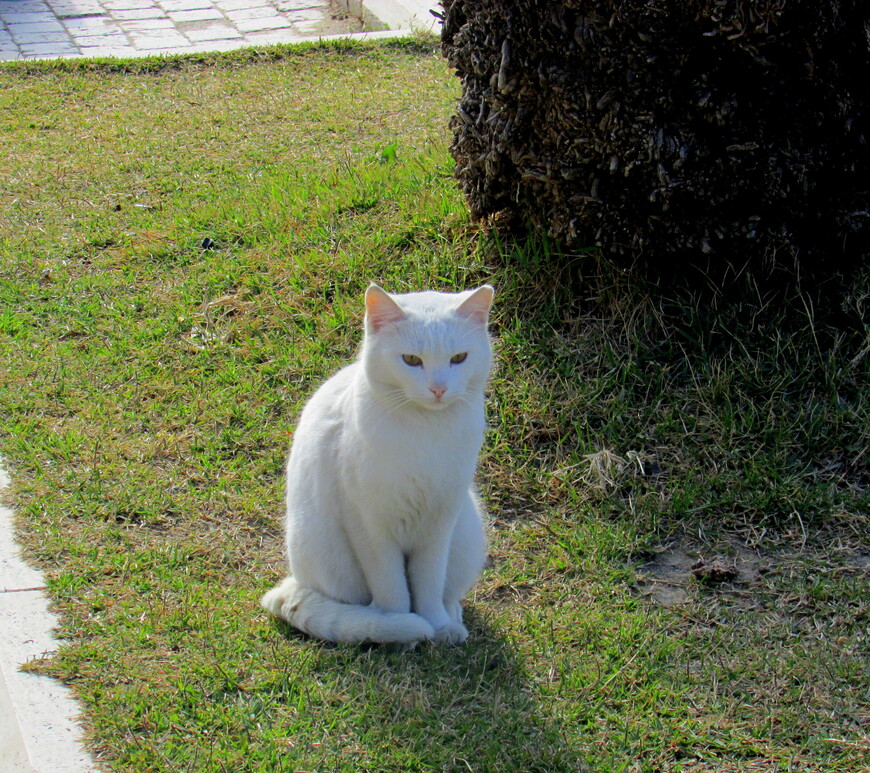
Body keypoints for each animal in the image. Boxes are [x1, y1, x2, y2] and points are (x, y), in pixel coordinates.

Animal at [260, 280, 498, 644]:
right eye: (411, 360)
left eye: (459, 358)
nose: (439, 389)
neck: (425, 432)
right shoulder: (368, 526)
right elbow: (392, 588)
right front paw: (399, 627)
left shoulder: (439, 522)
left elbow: (429, 584)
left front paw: (436, 624)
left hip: (466, 530)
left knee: (448, 592)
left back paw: (451, 623)